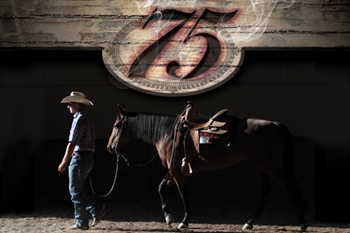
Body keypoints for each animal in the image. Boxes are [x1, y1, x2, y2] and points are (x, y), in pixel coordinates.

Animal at [107, 103, 308, 231]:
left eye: (116, 125)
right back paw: (249, 223)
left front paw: (184, 221)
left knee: (290, 188)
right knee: (265, 192)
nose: (109, 147)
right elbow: (161, 188)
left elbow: (183, 193)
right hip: (260, 167)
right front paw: (168, 217)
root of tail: (274, 124)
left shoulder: (177, 171)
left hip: (273, 167)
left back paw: (303, 223)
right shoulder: (173, 170)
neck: (167, 133)